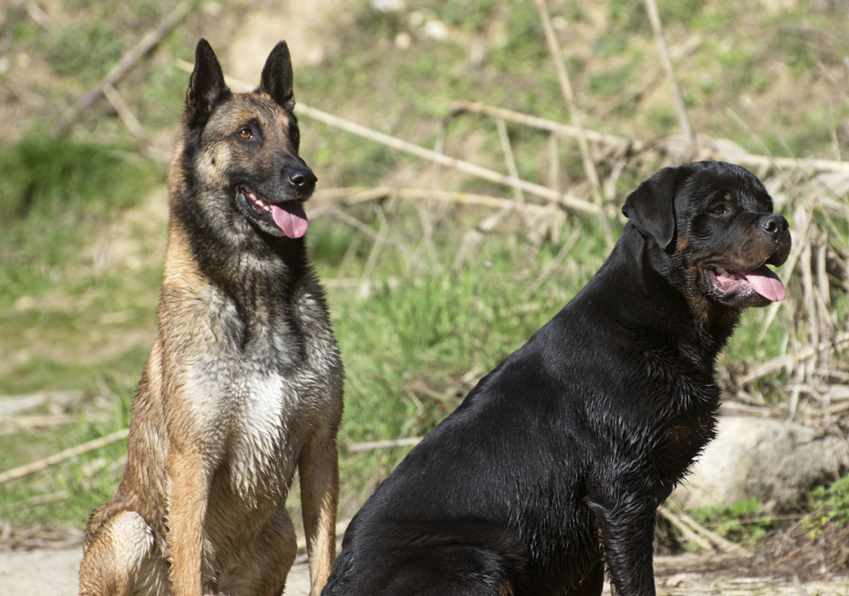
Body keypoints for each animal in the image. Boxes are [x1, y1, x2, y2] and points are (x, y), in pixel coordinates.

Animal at [78, 38, 344, 596]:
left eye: (294, 132)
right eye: (246, 133)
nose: (305, 178)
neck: (255, 288)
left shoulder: (320, 450)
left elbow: (326, 560)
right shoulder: (192, 463)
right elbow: (189, 565)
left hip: (281, 531)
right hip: (127, 528)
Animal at [322, 159, 788, 596]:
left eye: (766, 203)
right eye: (720, 207)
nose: (779, 223)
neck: (656, 318)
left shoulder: (592, 538)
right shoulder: (621, 493)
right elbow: (636, 582)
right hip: (474, 558)